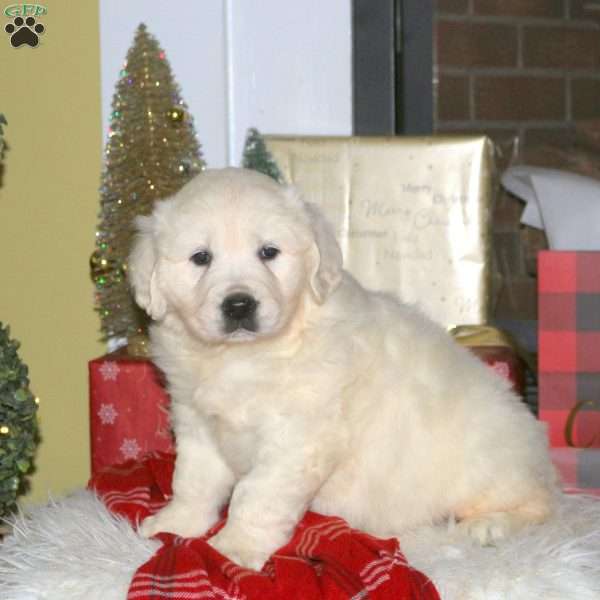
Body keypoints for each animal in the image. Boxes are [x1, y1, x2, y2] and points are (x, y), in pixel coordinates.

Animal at [130, 166, 556, 568]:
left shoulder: (299, 438)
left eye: (268, 252)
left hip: (489, 465)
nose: (238, 305)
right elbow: (193, 481)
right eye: (201, 258)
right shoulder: (198, 422)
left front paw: (235, 547)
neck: (242, 356)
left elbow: (257, 495)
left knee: (538, 506)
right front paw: (176, 524)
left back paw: (489, 524)